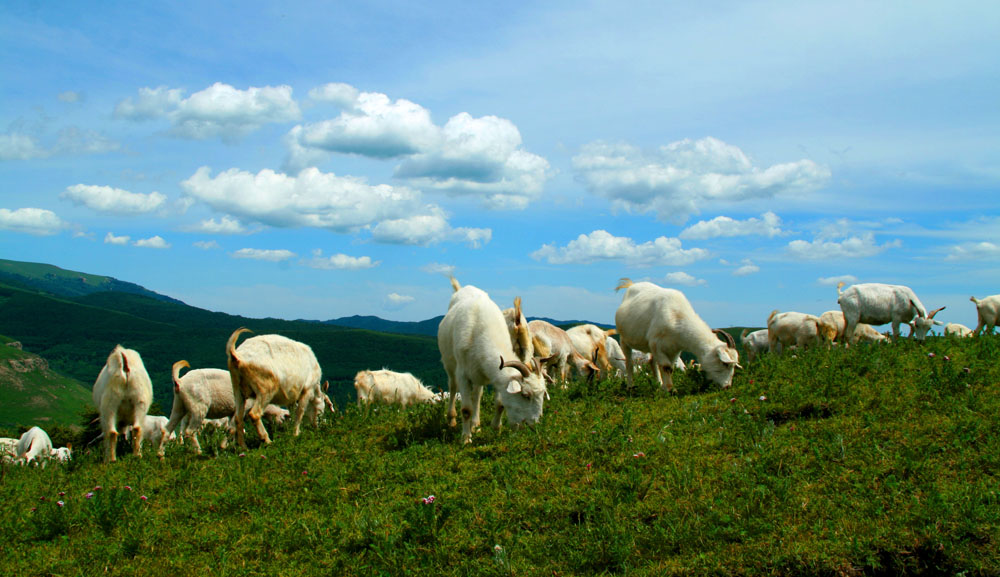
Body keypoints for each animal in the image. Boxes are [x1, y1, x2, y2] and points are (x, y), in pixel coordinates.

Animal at [612, 280, 740, 392]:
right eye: (725, 363)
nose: (727, 386)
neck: (677, 317)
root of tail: (631, 285)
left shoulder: (674, 349)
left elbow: (670, 368)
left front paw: (665, 387)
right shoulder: (657, 344)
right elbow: (666, 366)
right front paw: (670, 389)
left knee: (653, 362)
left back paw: (658, 384)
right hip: (624, 340)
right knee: (629, 363)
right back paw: (630, 386)